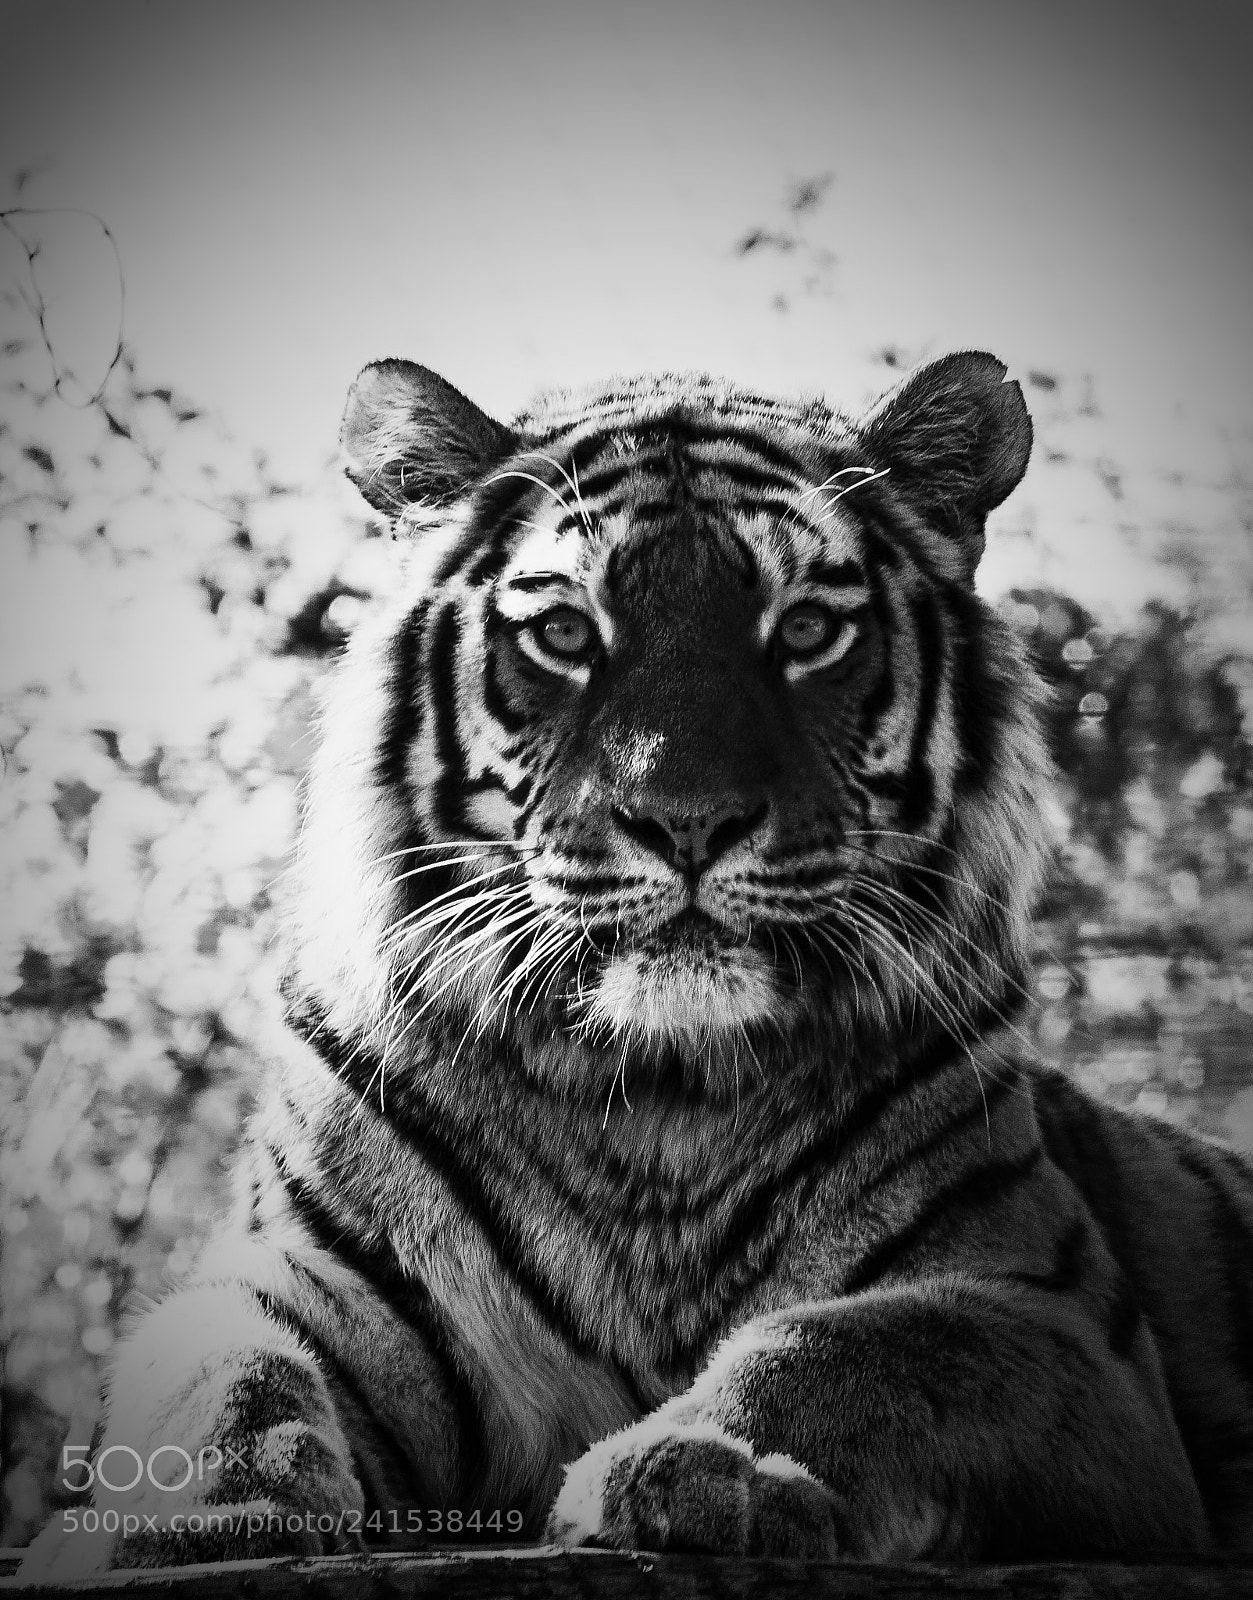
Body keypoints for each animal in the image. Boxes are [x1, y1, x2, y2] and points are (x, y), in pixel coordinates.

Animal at [20, 349, 1253, 1579]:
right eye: (566, 635)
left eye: (807, 629)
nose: (686, 820)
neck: (656, 1096)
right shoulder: (305, 1273)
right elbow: (221, 1372)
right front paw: (182, 1514)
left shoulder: (1059, 1327)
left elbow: (861, 1342)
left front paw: (704, 1467)